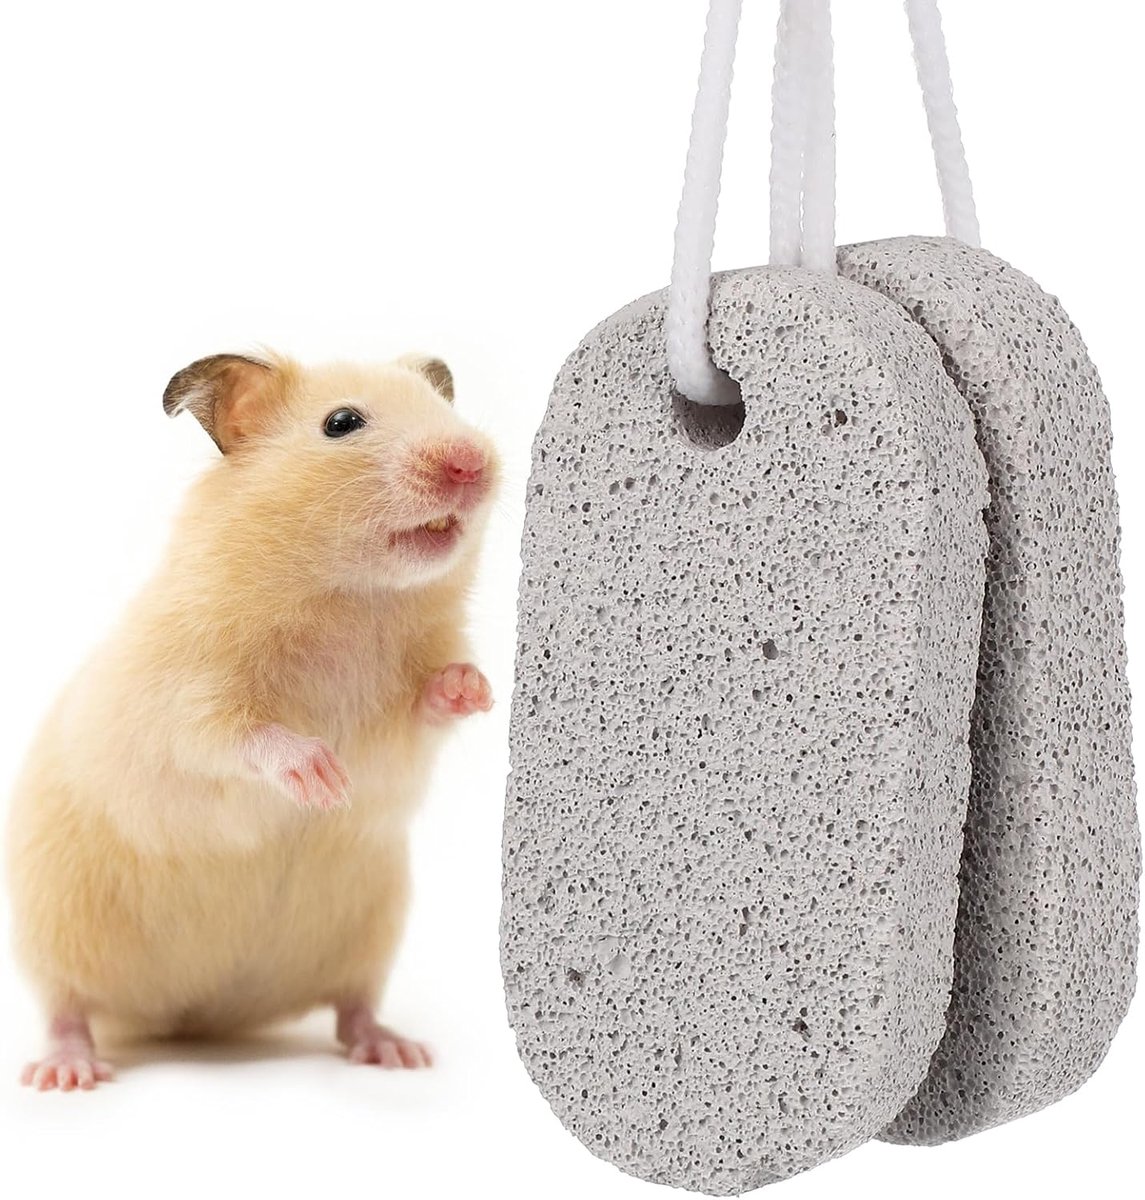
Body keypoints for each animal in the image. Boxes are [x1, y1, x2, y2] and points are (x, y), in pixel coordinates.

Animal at [7, 351, 499, 1089]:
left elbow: (428, 707)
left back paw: (397, 1051)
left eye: (445, 409)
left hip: (369, 928)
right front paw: (321, 778)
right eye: (342, 423)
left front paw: (476, 688)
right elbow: (236, 736)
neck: (353, 599)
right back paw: (66, 1072)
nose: (472, 462)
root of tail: (196, 1016)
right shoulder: (185, 697)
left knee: (351, 1008)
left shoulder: (399, 730)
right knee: (69, 1008)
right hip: (55, 926)